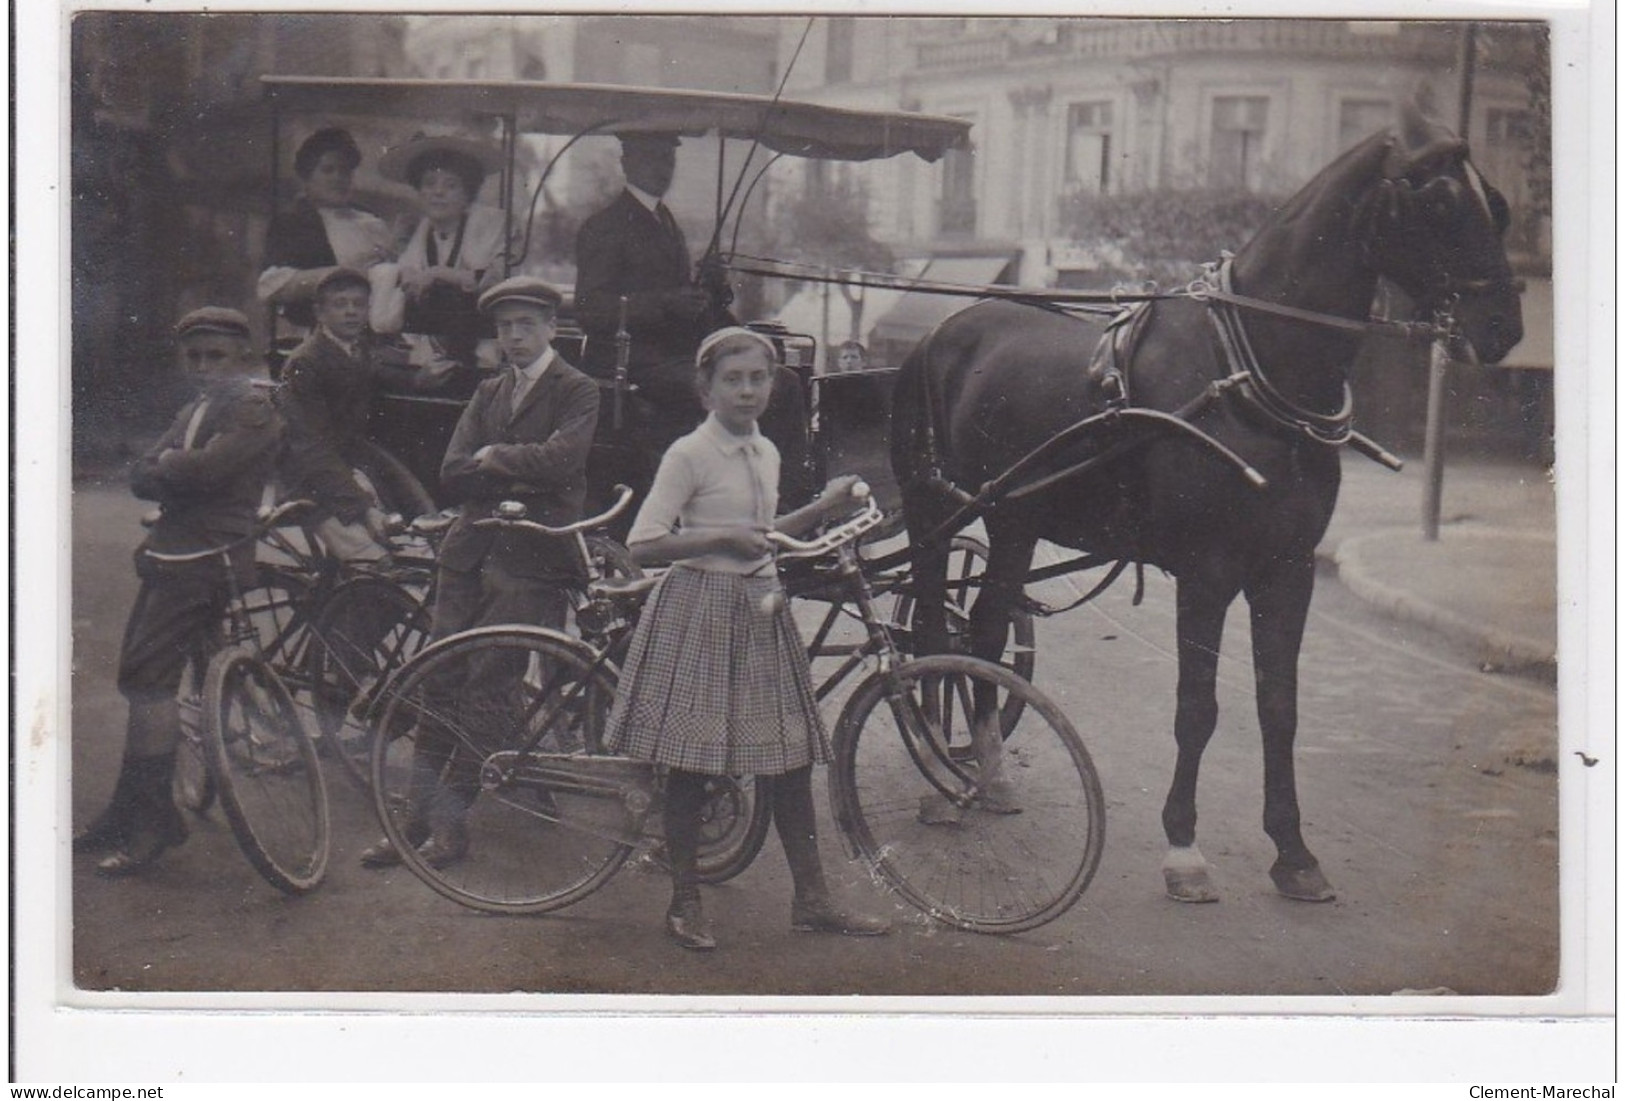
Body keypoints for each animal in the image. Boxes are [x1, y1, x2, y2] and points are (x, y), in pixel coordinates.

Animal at [890, 105, 1521, 902]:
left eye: (1495, 201)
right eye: (1436, 201)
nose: (1504, 327)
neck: (1250, 373)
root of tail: (941, 333)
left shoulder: (1287, 570)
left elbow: (1278, 707)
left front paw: (1293, 851)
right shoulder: (1208, 572)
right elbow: (1198, 707)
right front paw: (1184, 847)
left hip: (1013, 519)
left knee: (985, 626)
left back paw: (991, 771)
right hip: (930, 514)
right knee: (933, 624)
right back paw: (944, 774)